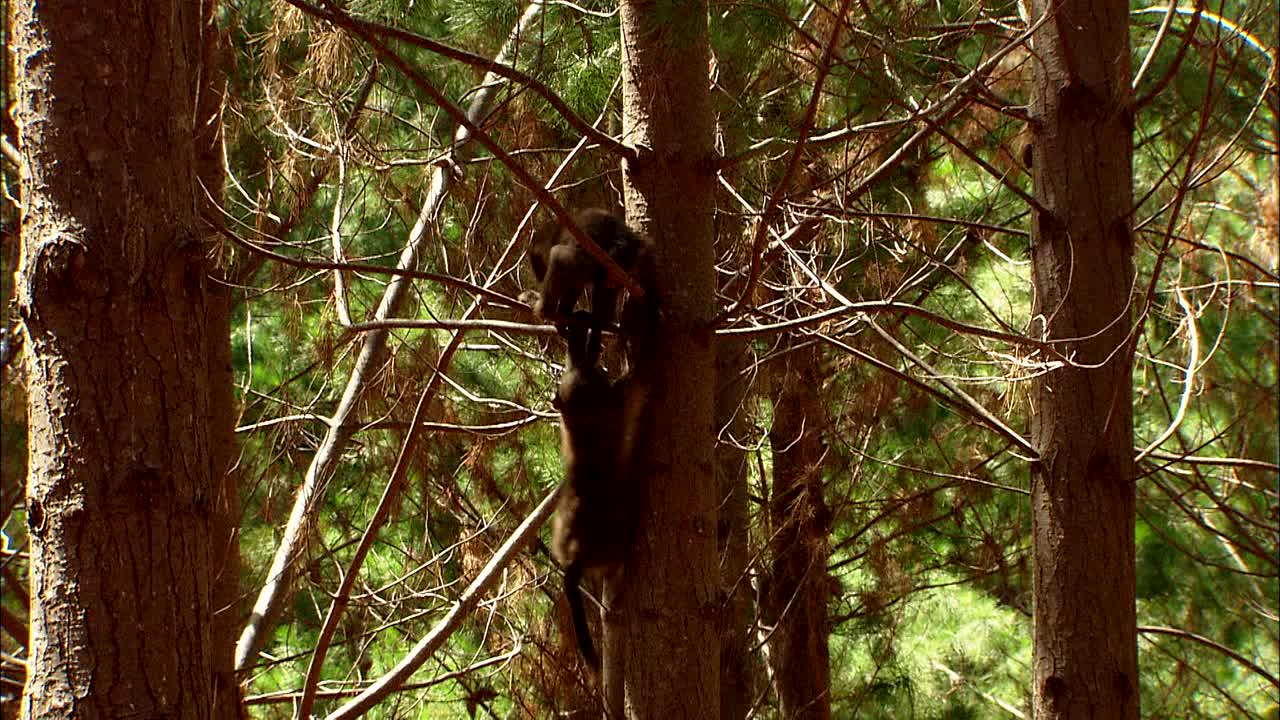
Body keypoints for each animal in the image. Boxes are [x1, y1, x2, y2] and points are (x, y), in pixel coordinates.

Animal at [550, 319, 650, 666]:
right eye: (596, 381)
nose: (598, 366)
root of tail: (576, 556)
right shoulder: (621, 398)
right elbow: (642, 373)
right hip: (613, 535)